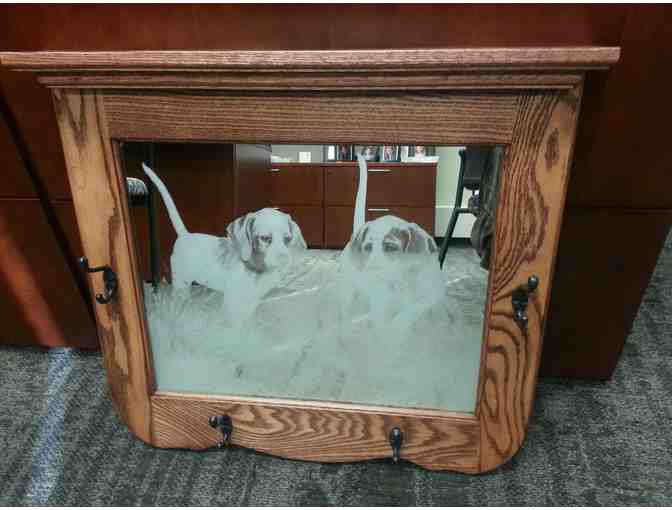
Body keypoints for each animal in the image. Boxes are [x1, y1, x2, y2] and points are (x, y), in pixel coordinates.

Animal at [141, 163, 306, 319]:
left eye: (287, 238)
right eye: (265, 238)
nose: (284, 260)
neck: (256, 270)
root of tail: (185, 235)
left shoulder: (252, 302)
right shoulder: (232, 303)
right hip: (181, 283)